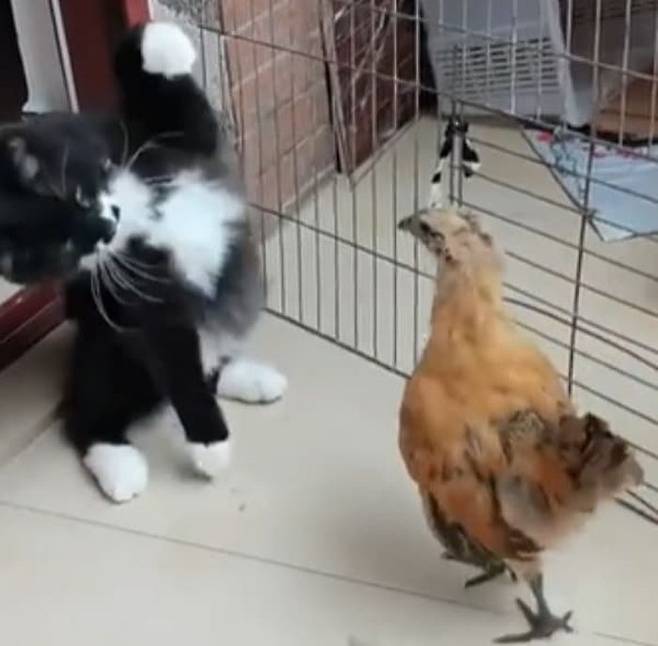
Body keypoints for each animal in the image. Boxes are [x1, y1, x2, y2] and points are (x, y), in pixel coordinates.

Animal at [4, 22, 287, 502]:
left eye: (77, 197)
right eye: (65, 244)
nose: (106, 225)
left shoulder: (174, 139)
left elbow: (173, 94)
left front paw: (160, 39)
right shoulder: (149, 303)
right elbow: (179, 366)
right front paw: (210, 445)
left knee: (206, 364)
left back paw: (253, 379)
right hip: (107, 355)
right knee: (90, 413)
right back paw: (120, 468)